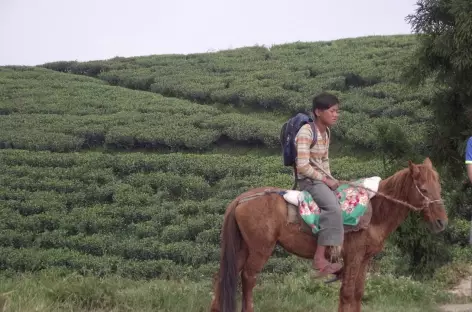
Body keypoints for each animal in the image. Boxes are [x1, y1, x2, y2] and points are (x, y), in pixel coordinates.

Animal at [209, 158, 446, 312]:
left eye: (439, 186)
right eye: (424, 189)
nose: (441, 222)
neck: (375, 211)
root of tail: (241, 199)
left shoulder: (364, 259)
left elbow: (357, 292)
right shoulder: (353, 256)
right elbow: (347, 293)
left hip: (242, 247)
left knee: (225, 276)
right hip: (260, 248)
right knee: (248, 278)